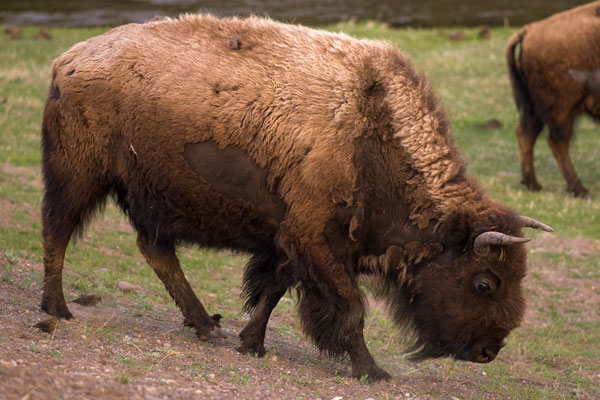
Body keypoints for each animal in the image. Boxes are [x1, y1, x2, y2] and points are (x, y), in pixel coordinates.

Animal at [506, 0, 600, 198]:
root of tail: (529, 30)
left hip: (538, 107)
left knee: (526, 133)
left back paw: (533, 184)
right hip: (562, 108)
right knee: (557, 142)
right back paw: (580, 190)